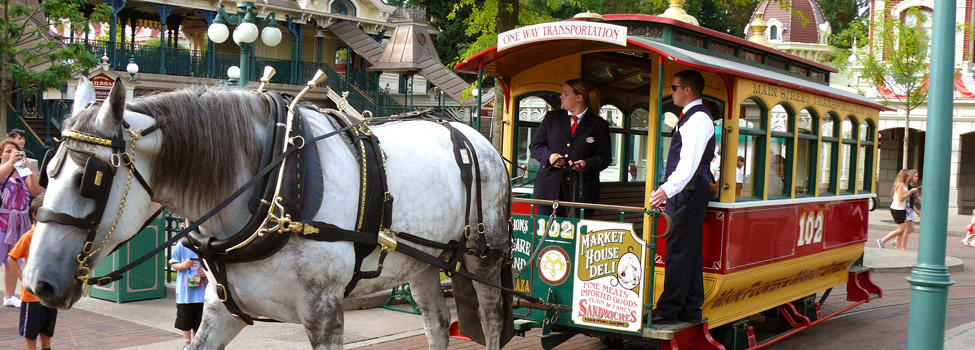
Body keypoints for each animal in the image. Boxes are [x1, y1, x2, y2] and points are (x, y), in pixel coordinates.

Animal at [21, 80, 510, 350]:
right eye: (46, 170)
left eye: (89, 179)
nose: (36, 283)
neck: (270, 186)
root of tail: (470, 132)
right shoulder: (223, 310)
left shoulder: (325, 314)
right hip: (424, 265)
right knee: (436, 326)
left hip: (483, 258)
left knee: (492, 321)